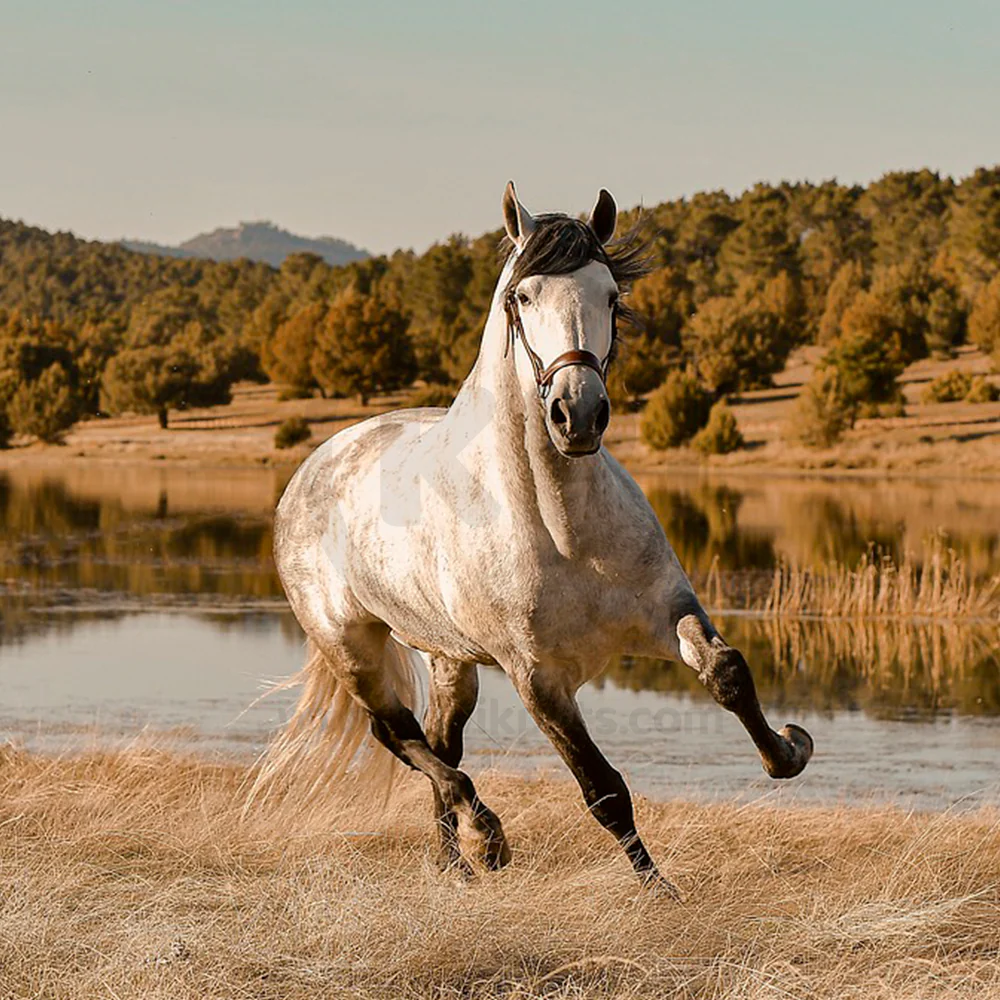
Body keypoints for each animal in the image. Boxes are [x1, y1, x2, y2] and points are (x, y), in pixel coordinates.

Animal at [260, 182, 813, 888]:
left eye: (611, 294)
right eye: (522, 297)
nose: (577, 414)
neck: (563, 528)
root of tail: (312, 466)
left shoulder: (665, 613)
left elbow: (728, 672)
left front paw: (788, 750)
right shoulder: (539, 680)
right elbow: (604, 791)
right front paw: (662, 895)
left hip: (451, 660)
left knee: (439, 742)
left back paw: (456, 865)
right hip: (351, 647)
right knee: (400, 736)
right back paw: (487, 837)